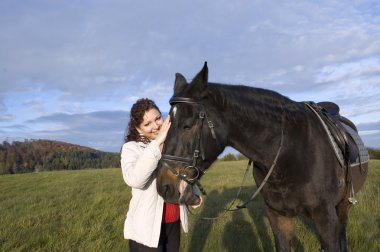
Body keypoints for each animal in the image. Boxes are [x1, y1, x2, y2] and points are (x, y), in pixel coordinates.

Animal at [155, 63, 368, 252]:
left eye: (188, 125)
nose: (164, 187)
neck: (289, 152)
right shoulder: (278, 216)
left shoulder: (326, 218)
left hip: (342, 207)